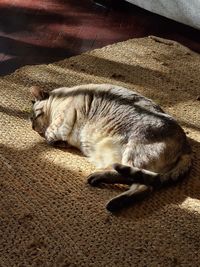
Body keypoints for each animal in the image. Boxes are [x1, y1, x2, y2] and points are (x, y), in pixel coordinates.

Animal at [30, 85, 192, 213]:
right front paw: (61, 142)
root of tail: (186, 146)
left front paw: (54, 139)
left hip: (133, 152)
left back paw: (101, 186)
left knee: (137, 180)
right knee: (142, 182)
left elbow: (50, 136)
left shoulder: (60, 123)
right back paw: (111, 198)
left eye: (33, 117)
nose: (32, 127)